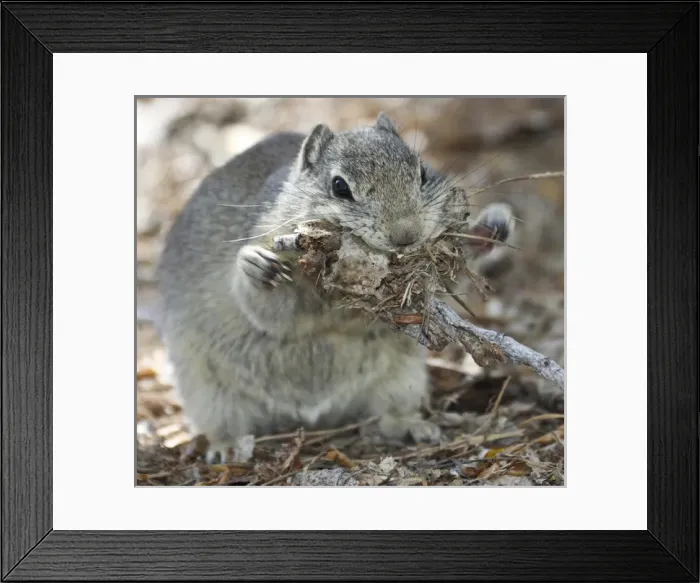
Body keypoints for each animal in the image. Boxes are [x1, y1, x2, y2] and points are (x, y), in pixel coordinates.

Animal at [156, 112, 511, 462]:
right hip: (208, 394)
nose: (406, 235)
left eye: (422, 172)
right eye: (339, 187)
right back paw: (226, 447)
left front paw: (488, 229)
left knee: (388, 417)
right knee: (223, 424)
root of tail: (312, 418)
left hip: (401, 380)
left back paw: (411, 426)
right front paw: (257, 265)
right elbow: (273, 313)